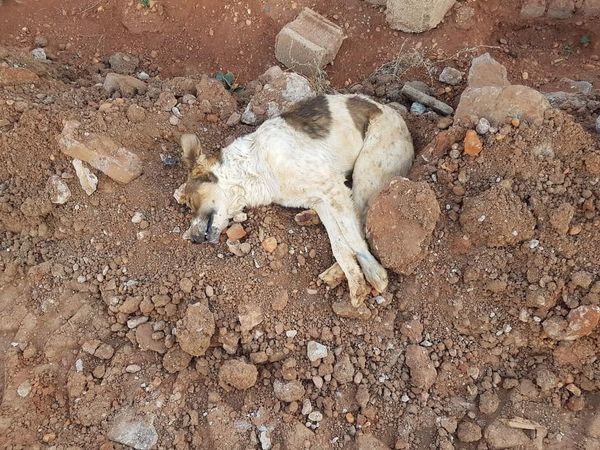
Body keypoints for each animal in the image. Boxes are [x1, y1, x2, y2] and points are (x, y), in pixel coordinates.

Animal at [179, 94, 414, 306]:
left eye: (190, 202)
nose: (193, 239)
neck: (254, 166)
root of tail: (394, 114)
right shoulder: (321, 201)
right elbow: (339, 246)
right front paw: (355, 280)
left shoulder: (333, 188)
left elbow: (352, 238)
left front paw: (375, 273)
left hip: (366, 172)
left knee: (363, 220)